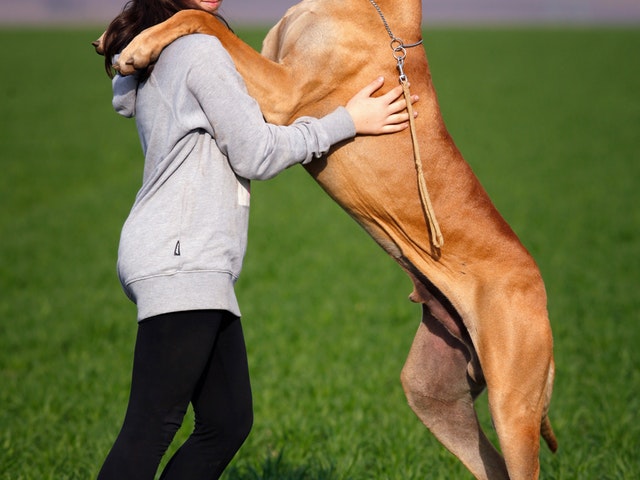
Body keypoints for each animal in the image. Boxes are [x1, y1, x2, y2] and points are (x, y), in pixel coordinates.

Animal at [96, 1, 560, 478]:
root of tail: (540, 291)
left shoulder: (282, 92)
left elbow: (202, 20)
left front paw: (136, 47)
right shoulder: (269, 66)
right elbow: (203, 22)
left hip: (512, 406)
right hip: (433, 394)